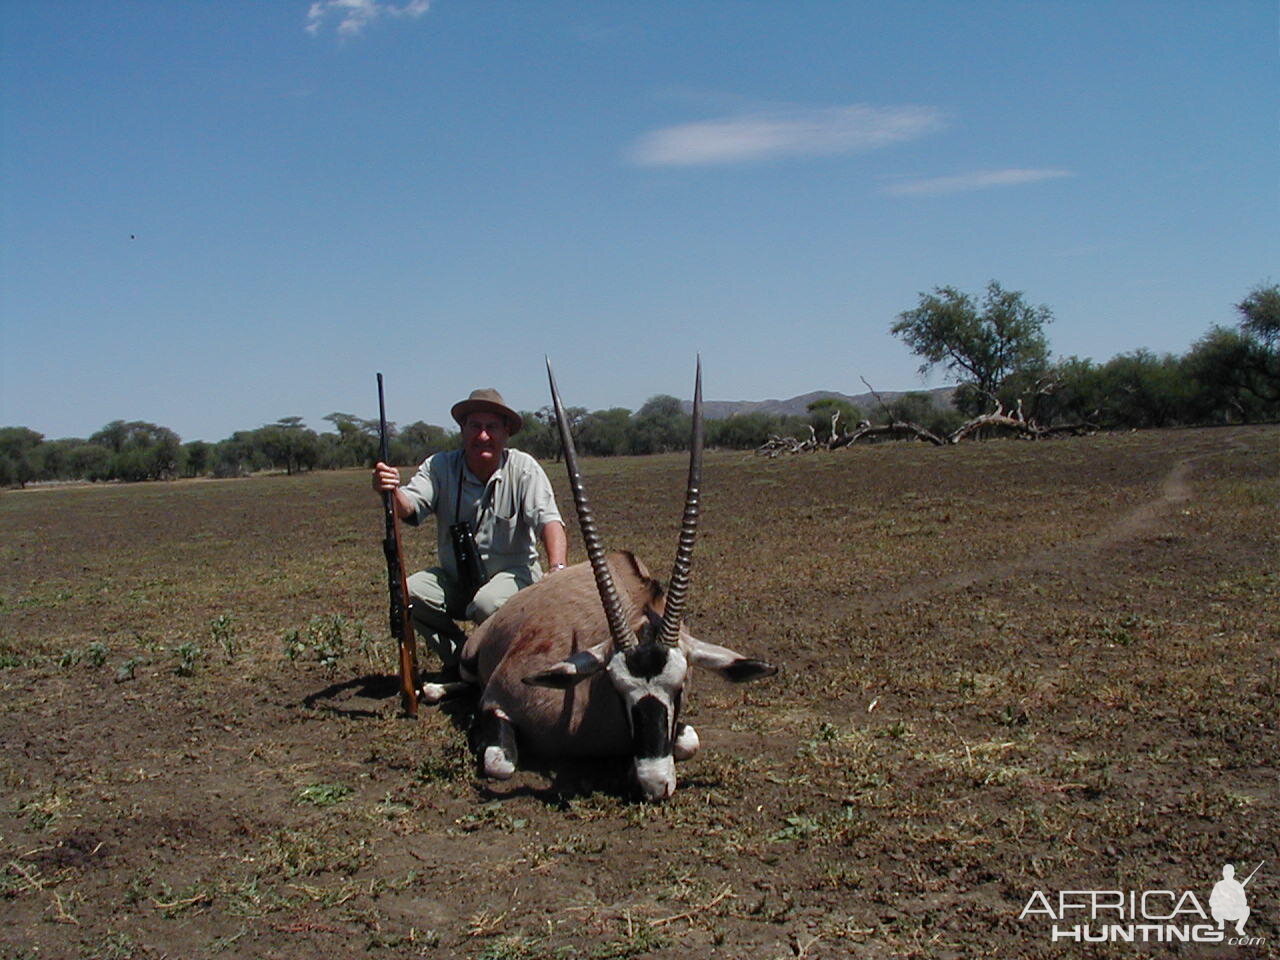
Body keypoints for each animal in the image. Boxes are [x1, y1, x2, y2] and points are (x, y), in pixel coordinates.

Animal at [424, 358, 773, 798]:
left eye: (680, 687)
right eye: (617, 687)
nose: (654, 783)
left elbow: (689, 742)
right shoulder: (497, 701)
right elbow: (500, 764)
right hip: (474, 661)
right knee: (465, 682)